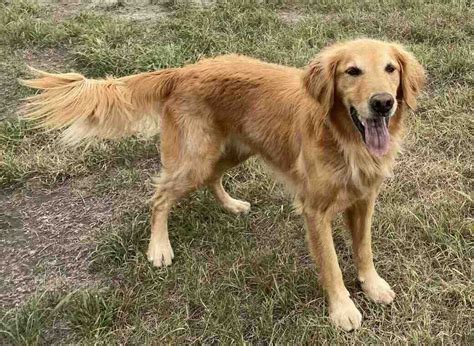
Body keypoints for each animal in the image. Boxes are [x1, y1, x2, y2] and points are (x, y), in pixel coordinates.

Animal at [20, 39, 424, 332]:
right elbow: (331, 265)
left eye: (390, 69)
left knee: (212, 178)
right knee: (159, 197)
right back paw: (159, 248)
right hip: (194, 159)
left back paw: (231, 205)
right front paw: (342, 309)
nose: (383, 103)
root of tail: (183, 70)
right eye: (352, 71)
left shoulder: (364, 199)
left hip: (235, 149)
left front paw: (372, 285)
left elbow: (364, 248)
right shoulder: (315, 211)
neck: (344, 139)